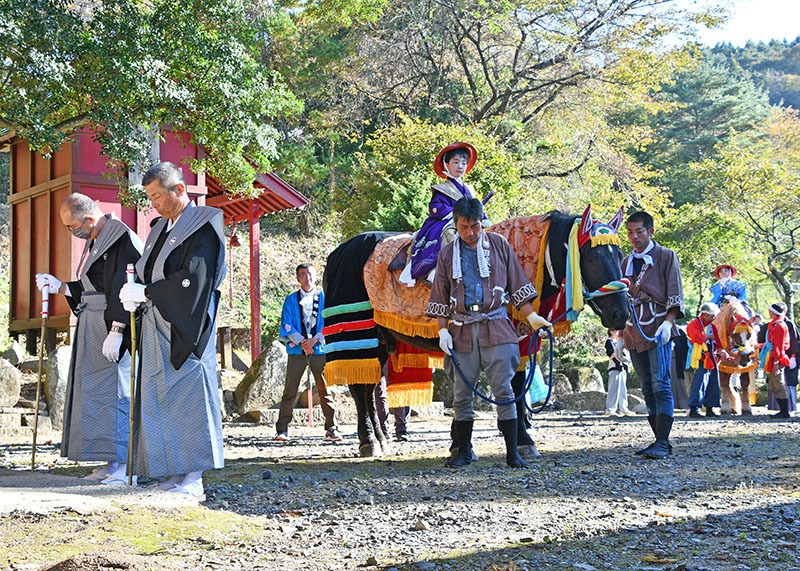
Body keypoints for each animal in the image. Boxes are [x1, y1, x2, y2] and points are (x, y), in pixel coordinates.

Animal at [324, 206, 632, 456]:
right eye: (591, 258)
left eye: (620, 255)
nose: (622, 314)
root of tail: (340, 252)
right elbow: (513, 386)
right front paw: (522, 439)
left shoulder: (521, 337)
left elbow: (514, 385)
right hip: (358, 333)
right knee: (360, 388)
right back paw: (369, 441)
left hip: (381, 340)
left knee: (369, 385)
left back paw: (380, 437)